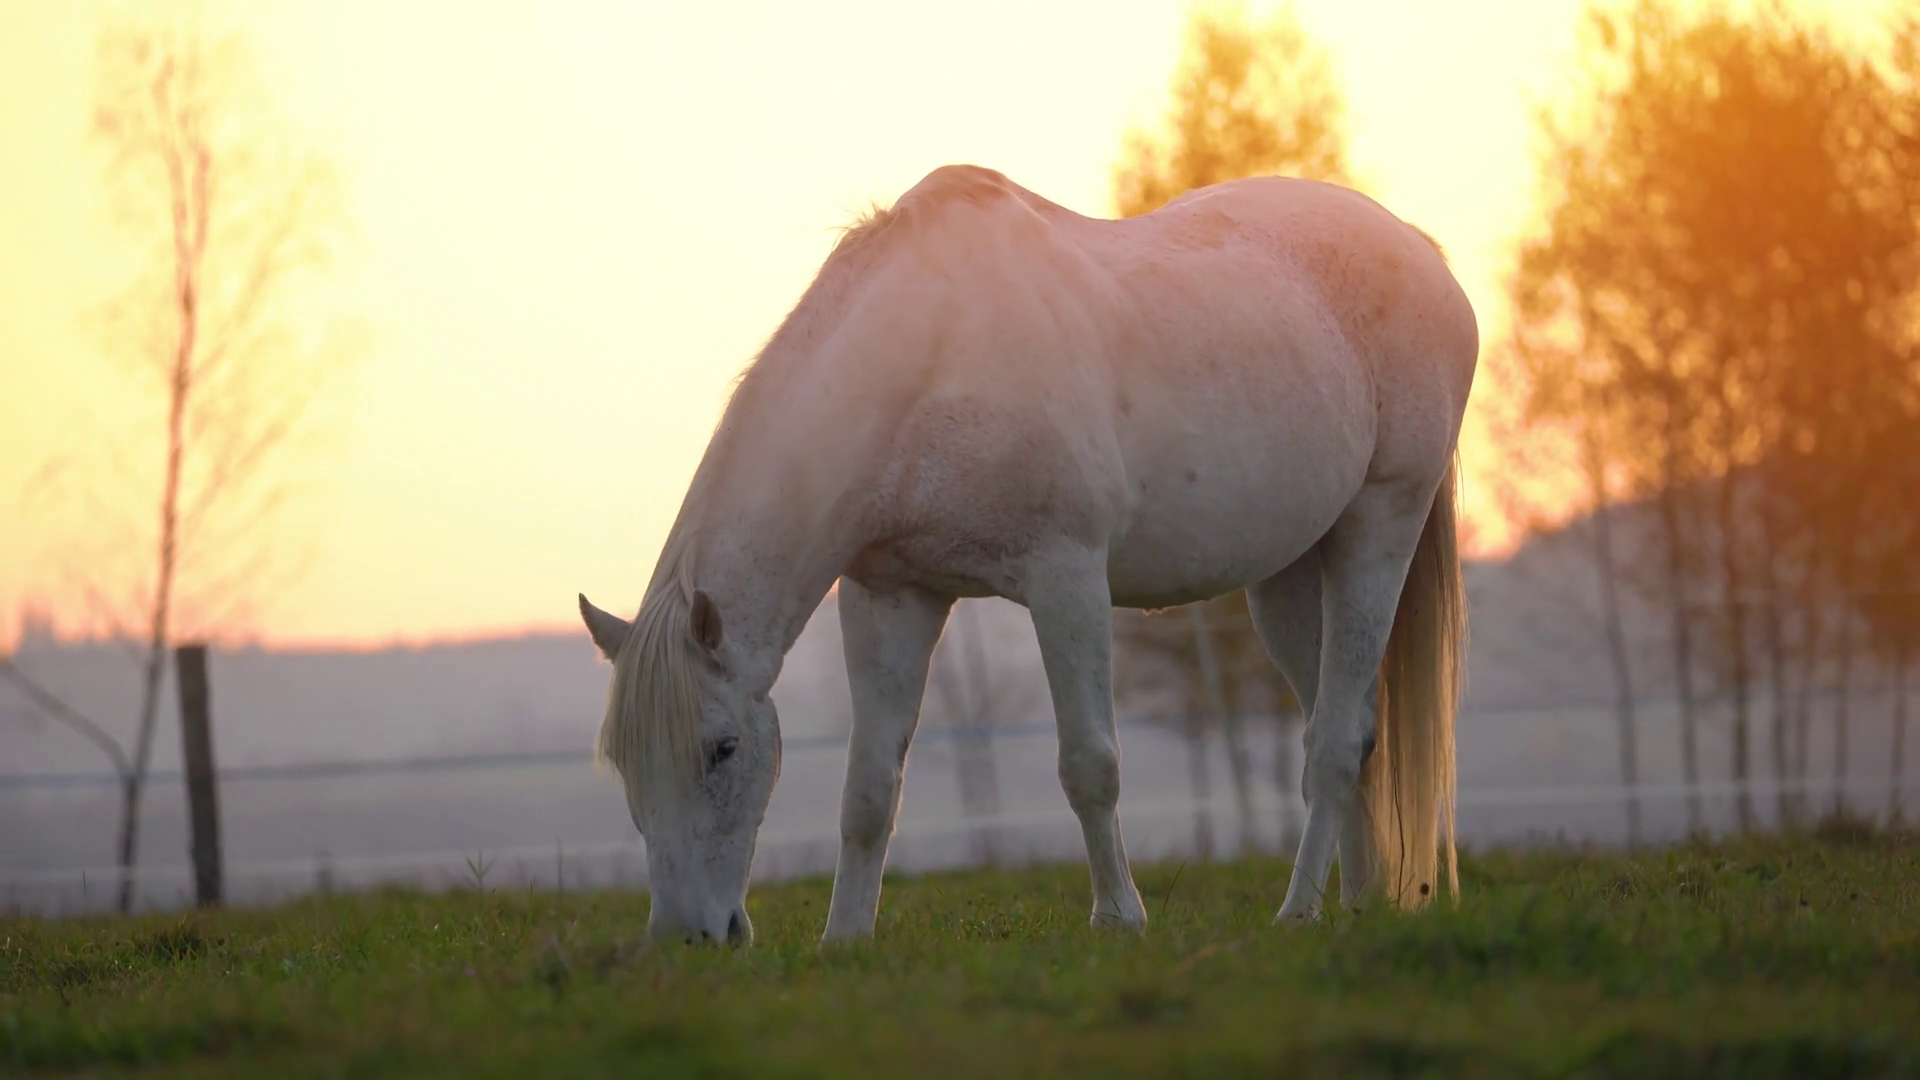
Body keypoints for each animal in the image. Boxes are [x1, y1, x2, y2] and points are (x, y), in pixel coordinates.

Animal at [577, 163, 1476, 945]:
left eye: (723, 748)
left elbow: (1089, 764)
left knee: (1337, 740)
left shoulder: (1065, 578)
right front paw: (846, 938)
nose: (689, 937)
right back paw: (1352, 903)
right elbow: (868, 787)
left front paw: (1118, 919)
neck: (931, 356)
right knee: (1348, 726)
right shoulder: (890, 598)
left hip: (1378, 529)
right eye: (622, 761)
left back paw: (1297, 912)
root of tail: (1422, 255)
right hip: (1289, 577)